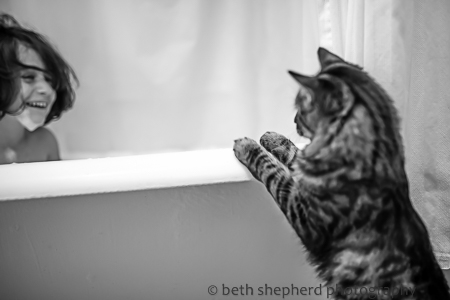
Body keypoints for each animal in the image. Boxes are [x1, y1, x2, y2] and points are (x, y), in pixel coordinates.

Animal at [232, 48, 450, 298]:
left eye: (301, 108)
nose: (294, 120)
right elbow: (294, 153)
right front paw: (273, 138)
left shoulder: (303, 214)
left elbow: (273, 171)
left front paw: (248, 146)